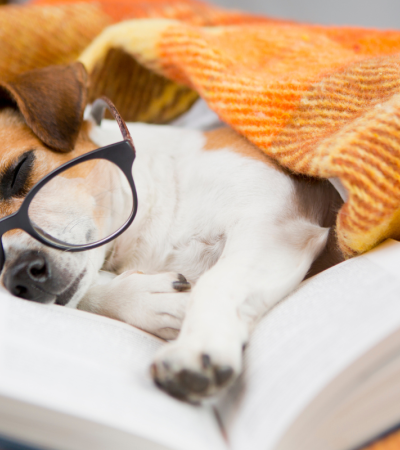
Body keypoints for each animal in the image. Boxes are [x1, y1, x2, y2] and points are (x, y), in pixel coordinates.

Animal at [0, 62, 344, 400]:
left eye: (18, 171)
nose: (19, 275)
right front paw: (149, 299)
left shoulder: (273, 223)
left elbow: (218, 281)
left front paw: (197, 348)